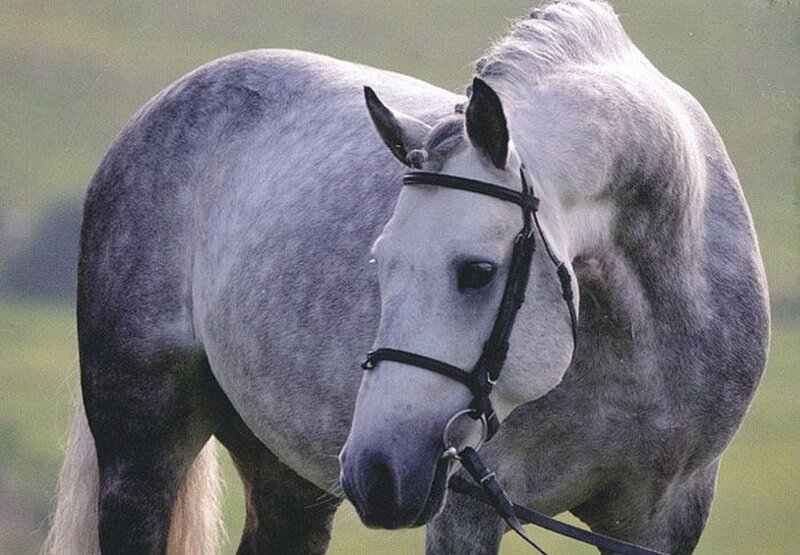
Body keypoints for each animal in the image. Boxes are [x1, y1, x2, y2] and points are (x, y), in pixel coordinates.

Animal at [45, 1, 769, 553]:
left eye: (476, 271)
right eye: (381, 262)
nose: (376, 469)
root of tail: (159, 109)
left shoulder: (662, 518)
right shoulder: (469, 509)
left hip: (286, 476)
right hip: (140, 449)